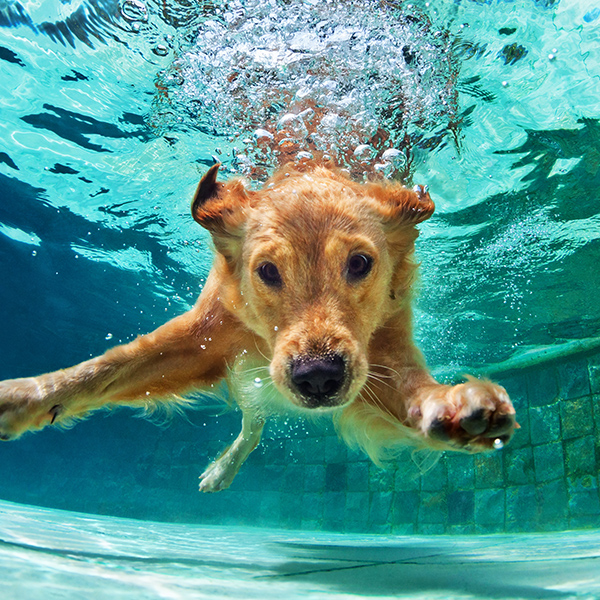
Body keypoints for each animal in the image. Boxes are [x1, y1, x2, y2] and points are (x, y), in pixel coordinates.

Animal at [0, 161, 516, 492]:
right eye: (267, 271)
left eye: (360, 263)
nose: (318, 378)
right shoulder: (205, 336)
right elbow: (105, 369)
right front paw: (26, 397)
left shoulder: (383, 352)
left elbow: (414, 390)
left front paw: (454, 407)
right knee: (252, 422)